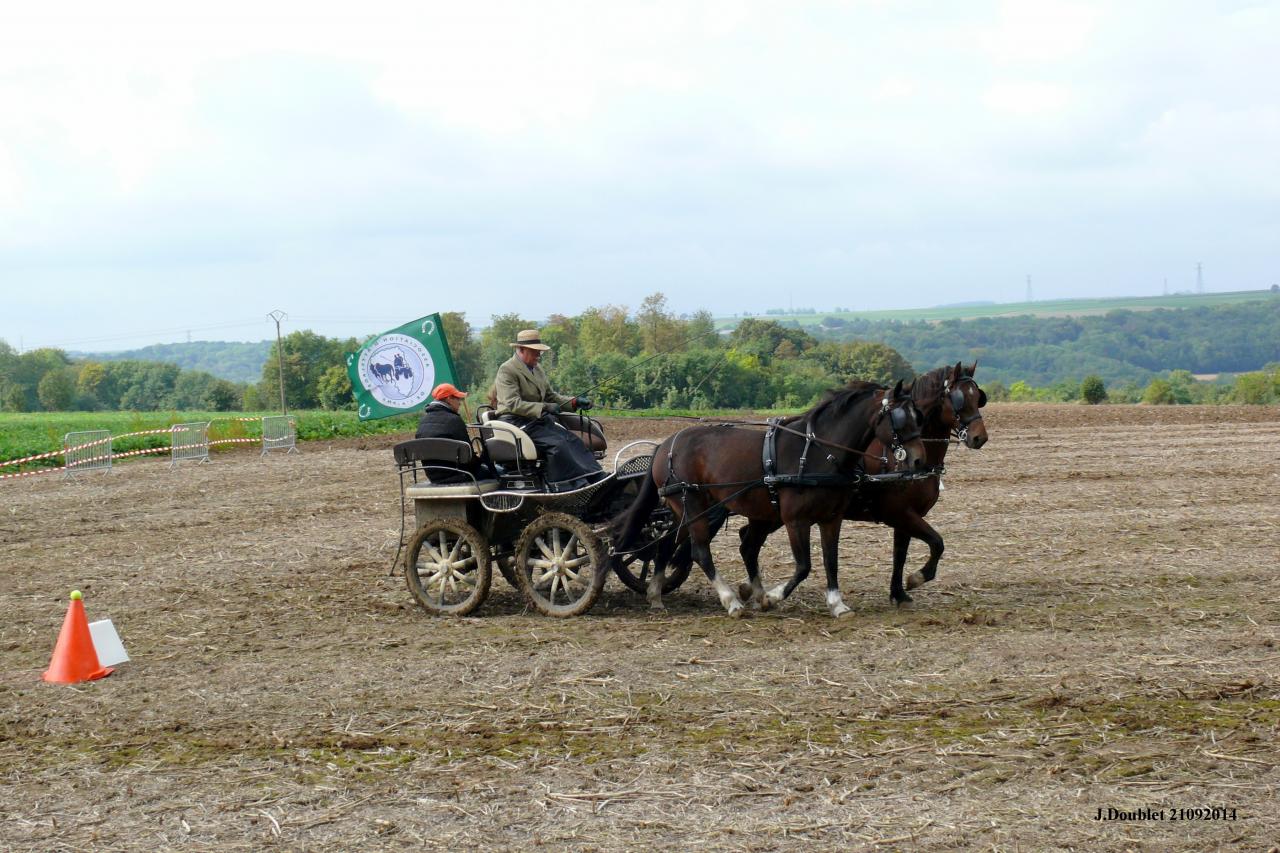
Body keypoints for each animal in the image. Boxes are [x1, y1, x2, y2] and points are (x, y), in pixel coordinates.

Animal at [611, 380, 927, 617]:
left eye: (919, 416)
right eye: (900, 418)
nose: (918, 460)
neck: (817, 451)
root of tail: (665, 445)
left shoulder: (831, 519)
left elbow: (831, 560)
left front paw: (837, 604)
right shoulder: (795, 520)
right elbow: (803, 566)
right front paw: (772, 598)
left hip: (683, 510)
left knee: (666, 545)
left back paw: (655, 595)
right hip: (694, 505)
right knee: (700, 551)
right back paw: (731, 601)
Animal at [734, 361, 989, 608]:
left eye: (978, 397)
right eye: (959, 398)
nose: (980, 437)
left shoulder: (906, 516)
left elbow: (901, 554)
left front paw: (898, 593)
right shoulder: (899, 513)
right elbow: (937, 543)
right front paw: (916, 578)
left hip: (770, 515)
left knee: (747, 539)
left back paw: (749, 588)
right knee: (748, 542)